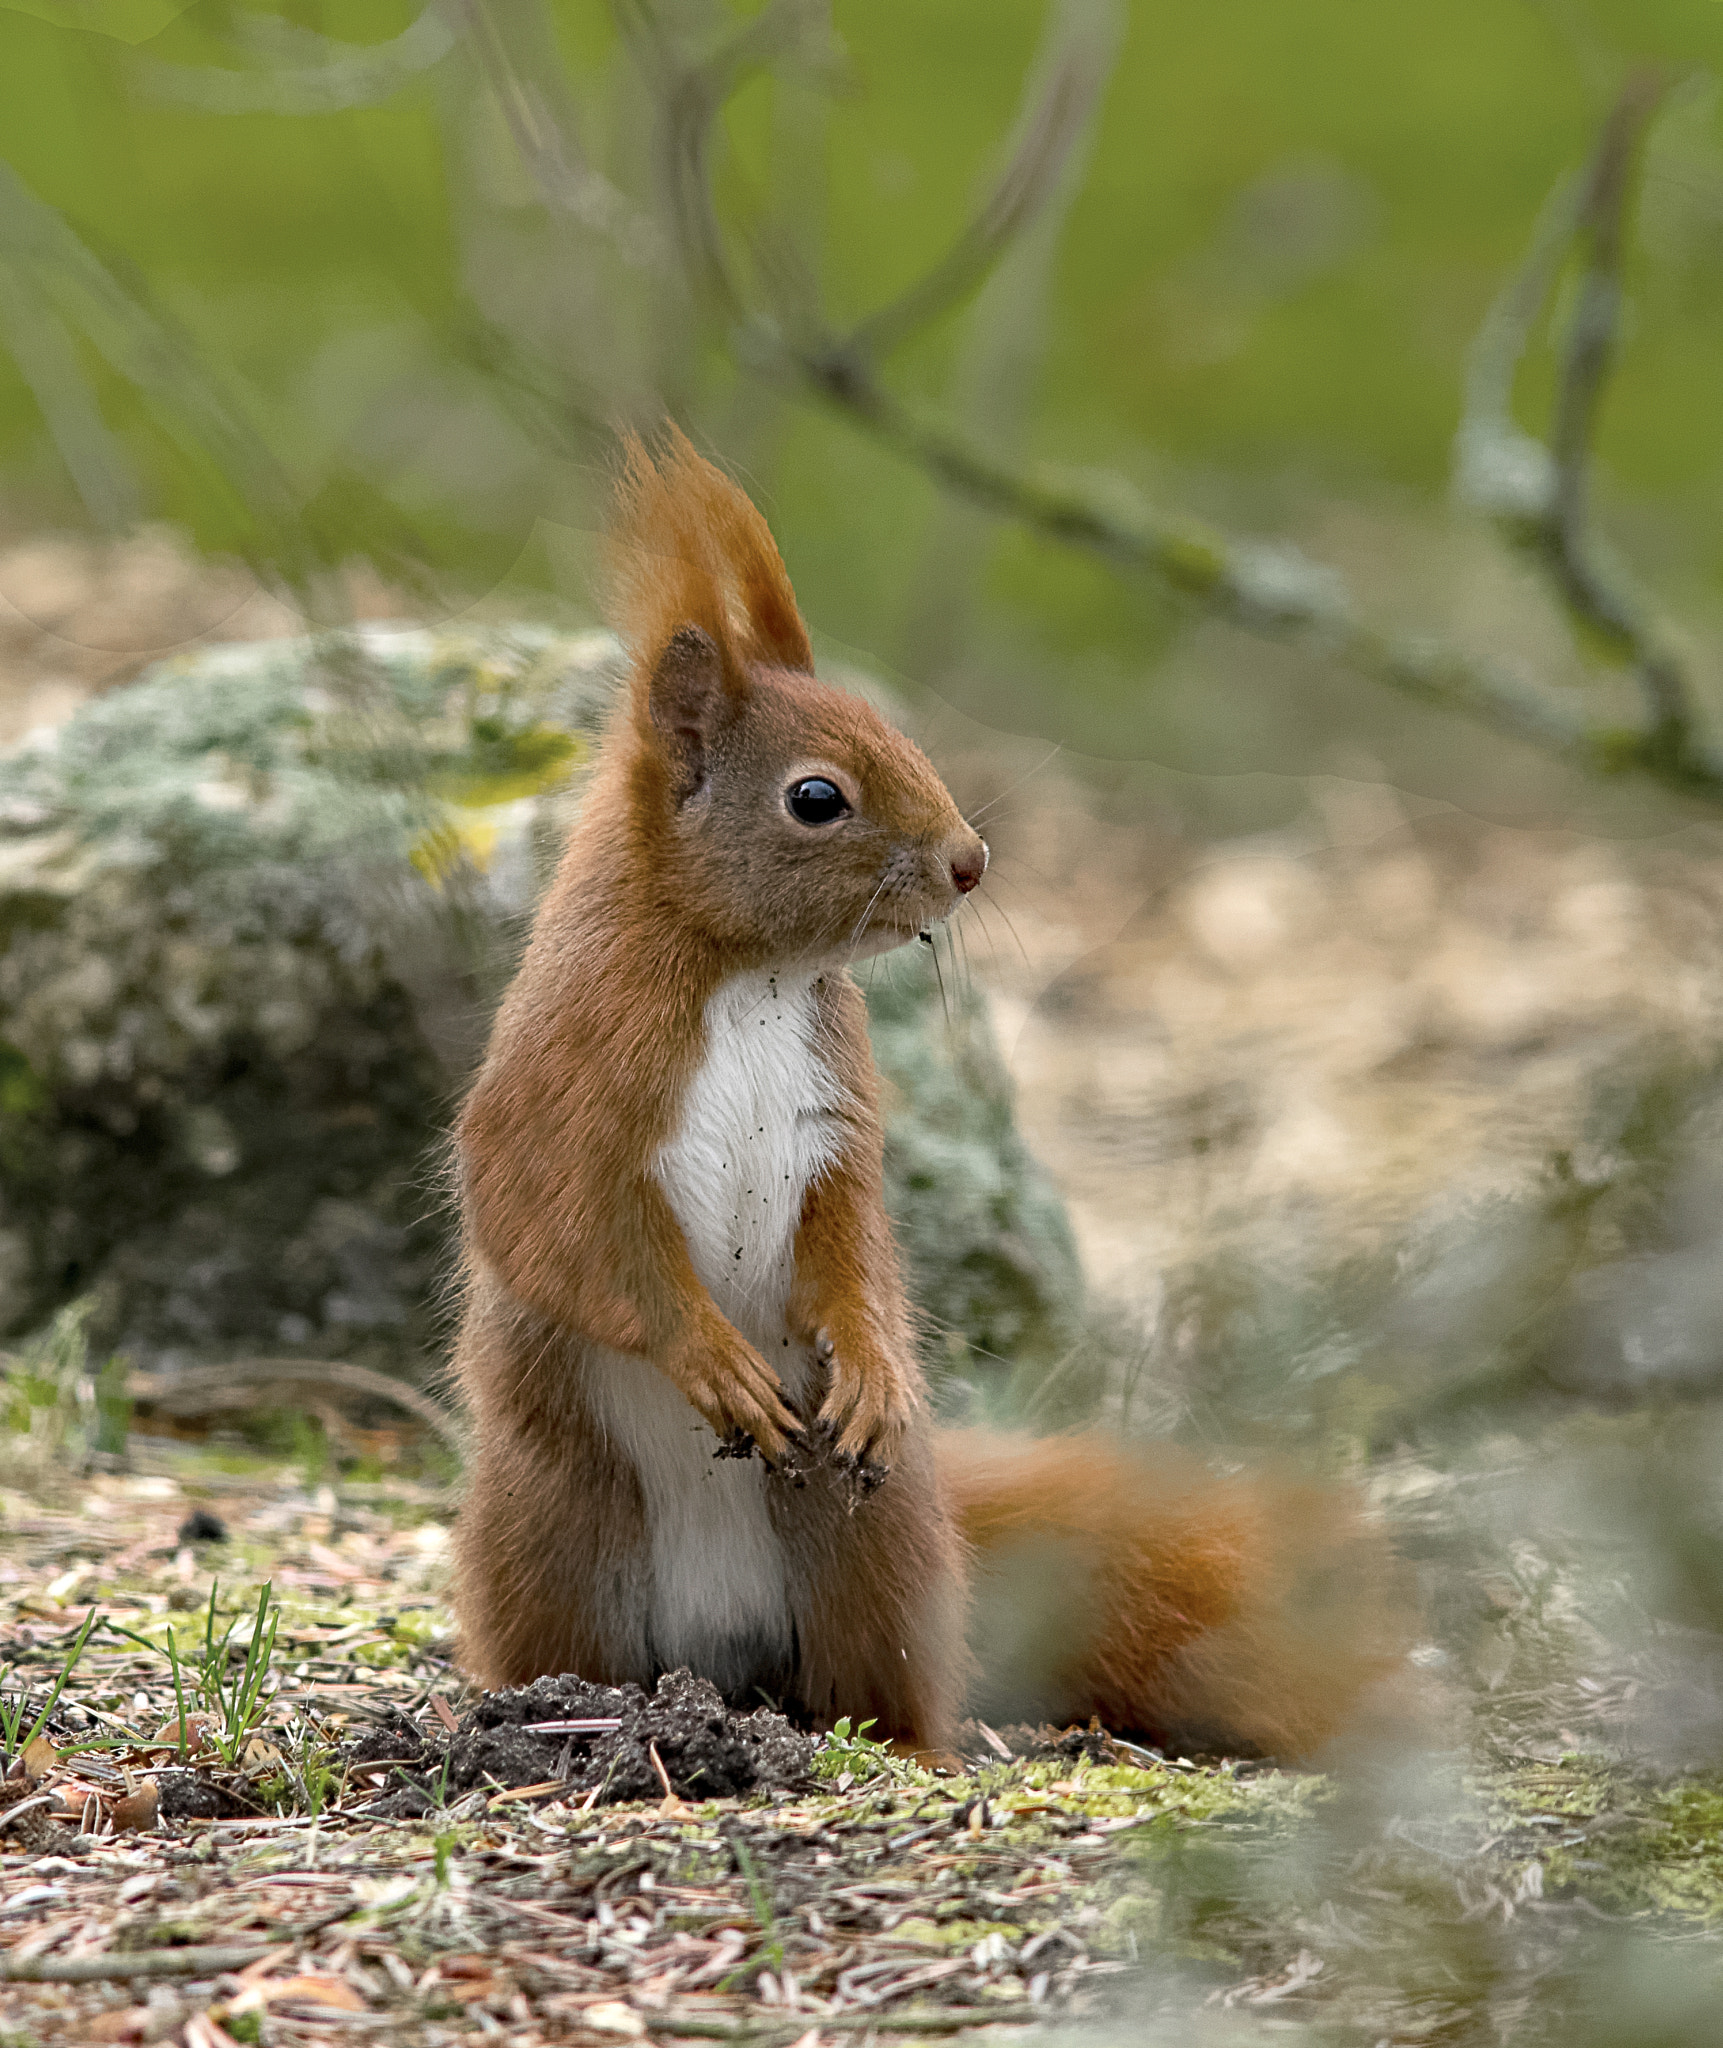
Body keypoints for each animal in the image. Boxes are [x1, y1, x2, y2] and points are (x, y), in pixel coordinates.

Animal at [450, 423, 1401, 1753]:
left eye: (902, 738)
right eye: (815, 796)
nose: (971, 861)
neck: (750, 977)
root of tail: (715, 1656)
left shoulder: (832, 1120)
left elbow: (854, 1243)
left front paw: (873, 1363)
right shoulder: (566, 1087)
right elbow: (567, 1231)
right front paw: (713, 1357)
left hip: (875, 1540)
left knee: (890, 1680)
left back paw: (903, 1732)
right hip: (552, 1531)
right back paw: (557, 1707)